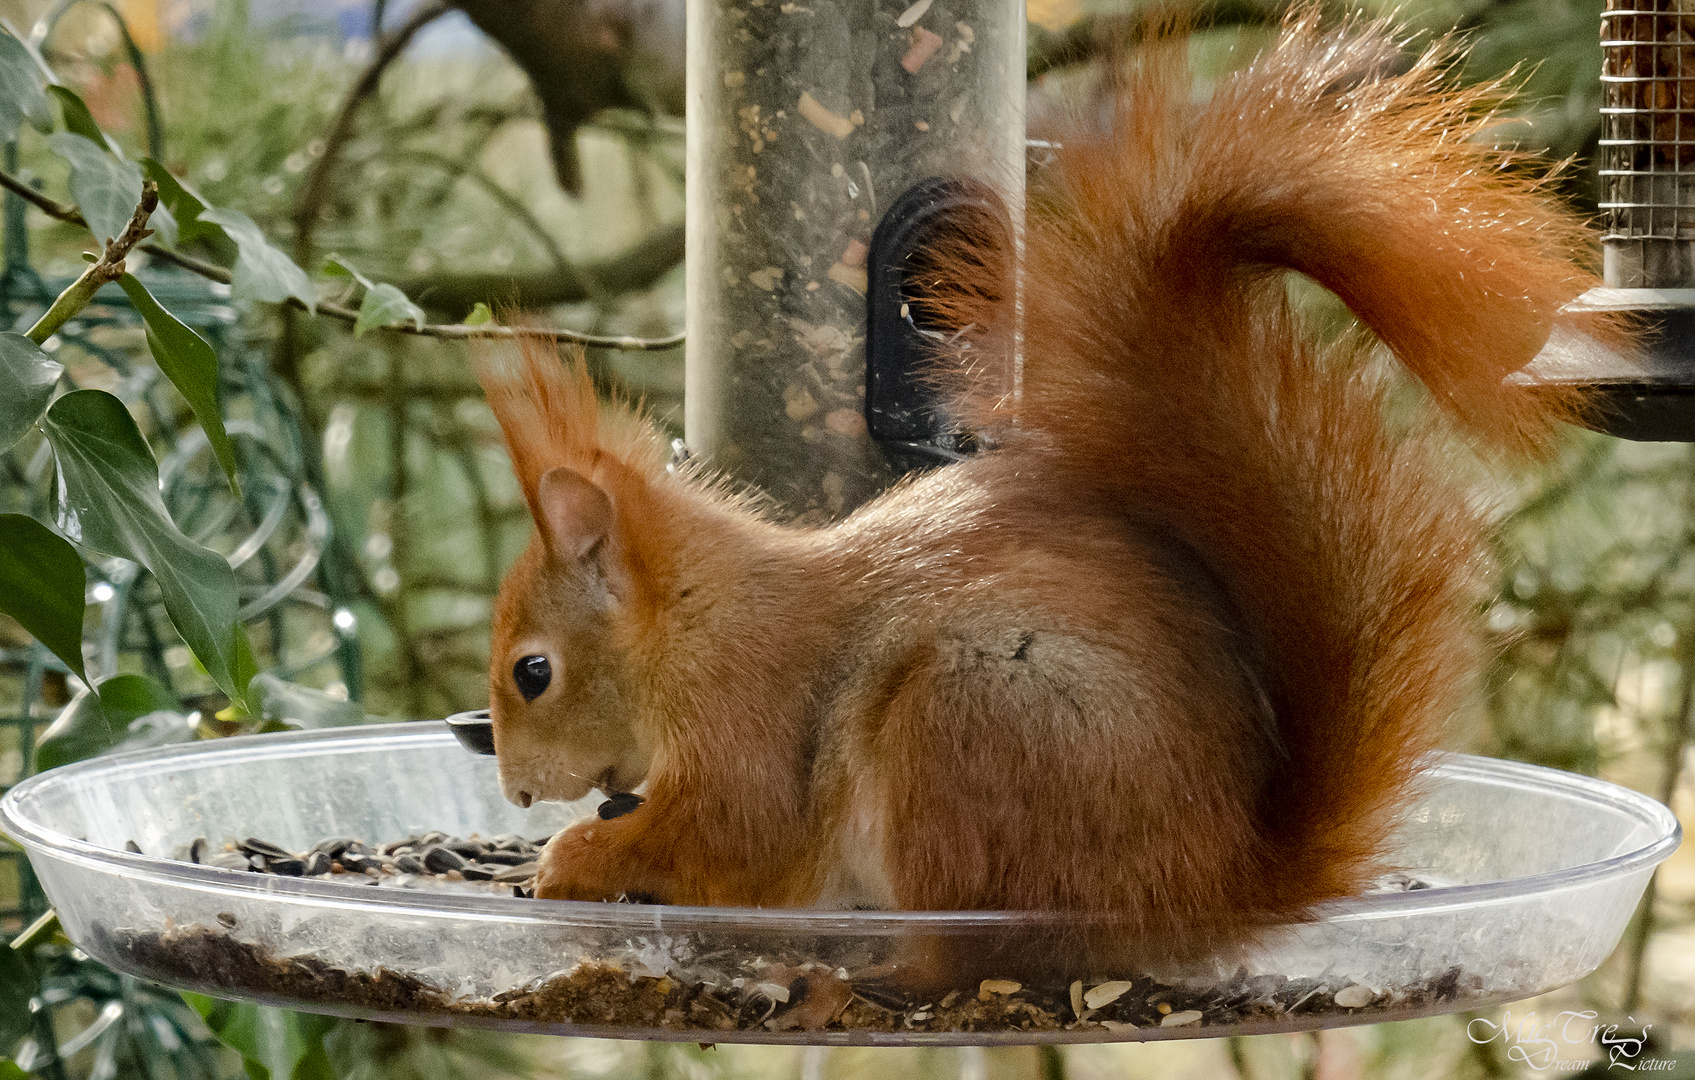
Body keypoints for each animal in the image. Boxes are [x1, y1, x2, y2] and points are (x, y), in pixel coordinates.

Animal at [474, 14, 1613, 963]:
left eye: (534, 672)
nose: (519, 794)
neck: (689, 617)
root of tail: (1217, 886)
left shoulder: (745, 717)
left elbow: (730, 839)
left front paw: (574, 861)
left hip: (967, 723)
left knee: (957, 958)